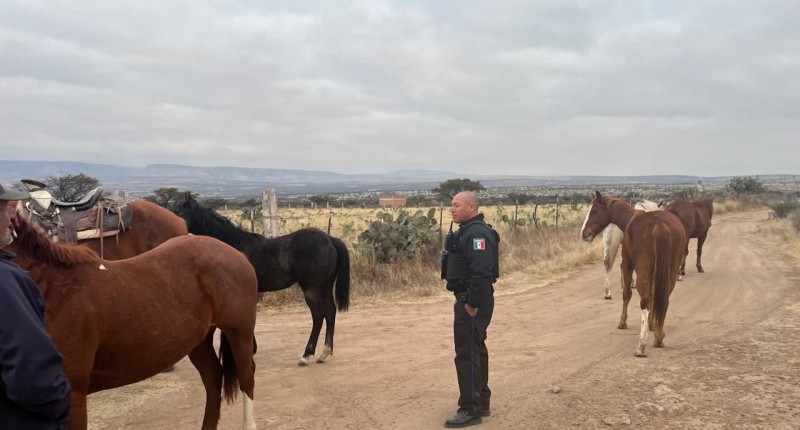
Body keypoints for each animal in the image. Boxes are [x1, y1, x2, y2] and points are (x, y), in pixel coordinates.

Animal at [8, 215, 259, 430]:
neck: (53, 289)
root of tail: (235, 253)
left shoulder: (74, 396)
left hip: (240, 333)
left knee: (246, 378)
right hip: (198, 342)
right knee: (213, 379)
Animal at [173, 193, 351, 366]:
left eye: (180, 211)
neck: (231, 245)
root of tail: (329, 239)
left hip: (311, 288)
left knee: (318, 314)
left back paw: (306, 355)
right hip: (325, 286)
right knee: (330, 312)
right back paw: (324, 353)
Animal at [581, 191, 687, 357]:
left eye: (595, 210)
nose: (584, 233)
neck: (630, 218)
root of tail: (660, 226)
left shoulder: (627, 265)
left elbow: (627, 293)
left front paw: (623, 322)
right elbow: (654, 296)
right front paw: (652, 324)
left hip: (642, 270)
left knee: (645, 301)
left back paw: (642, 345)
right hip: (671, 272)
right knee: (663, 299)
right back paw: (658, 337)